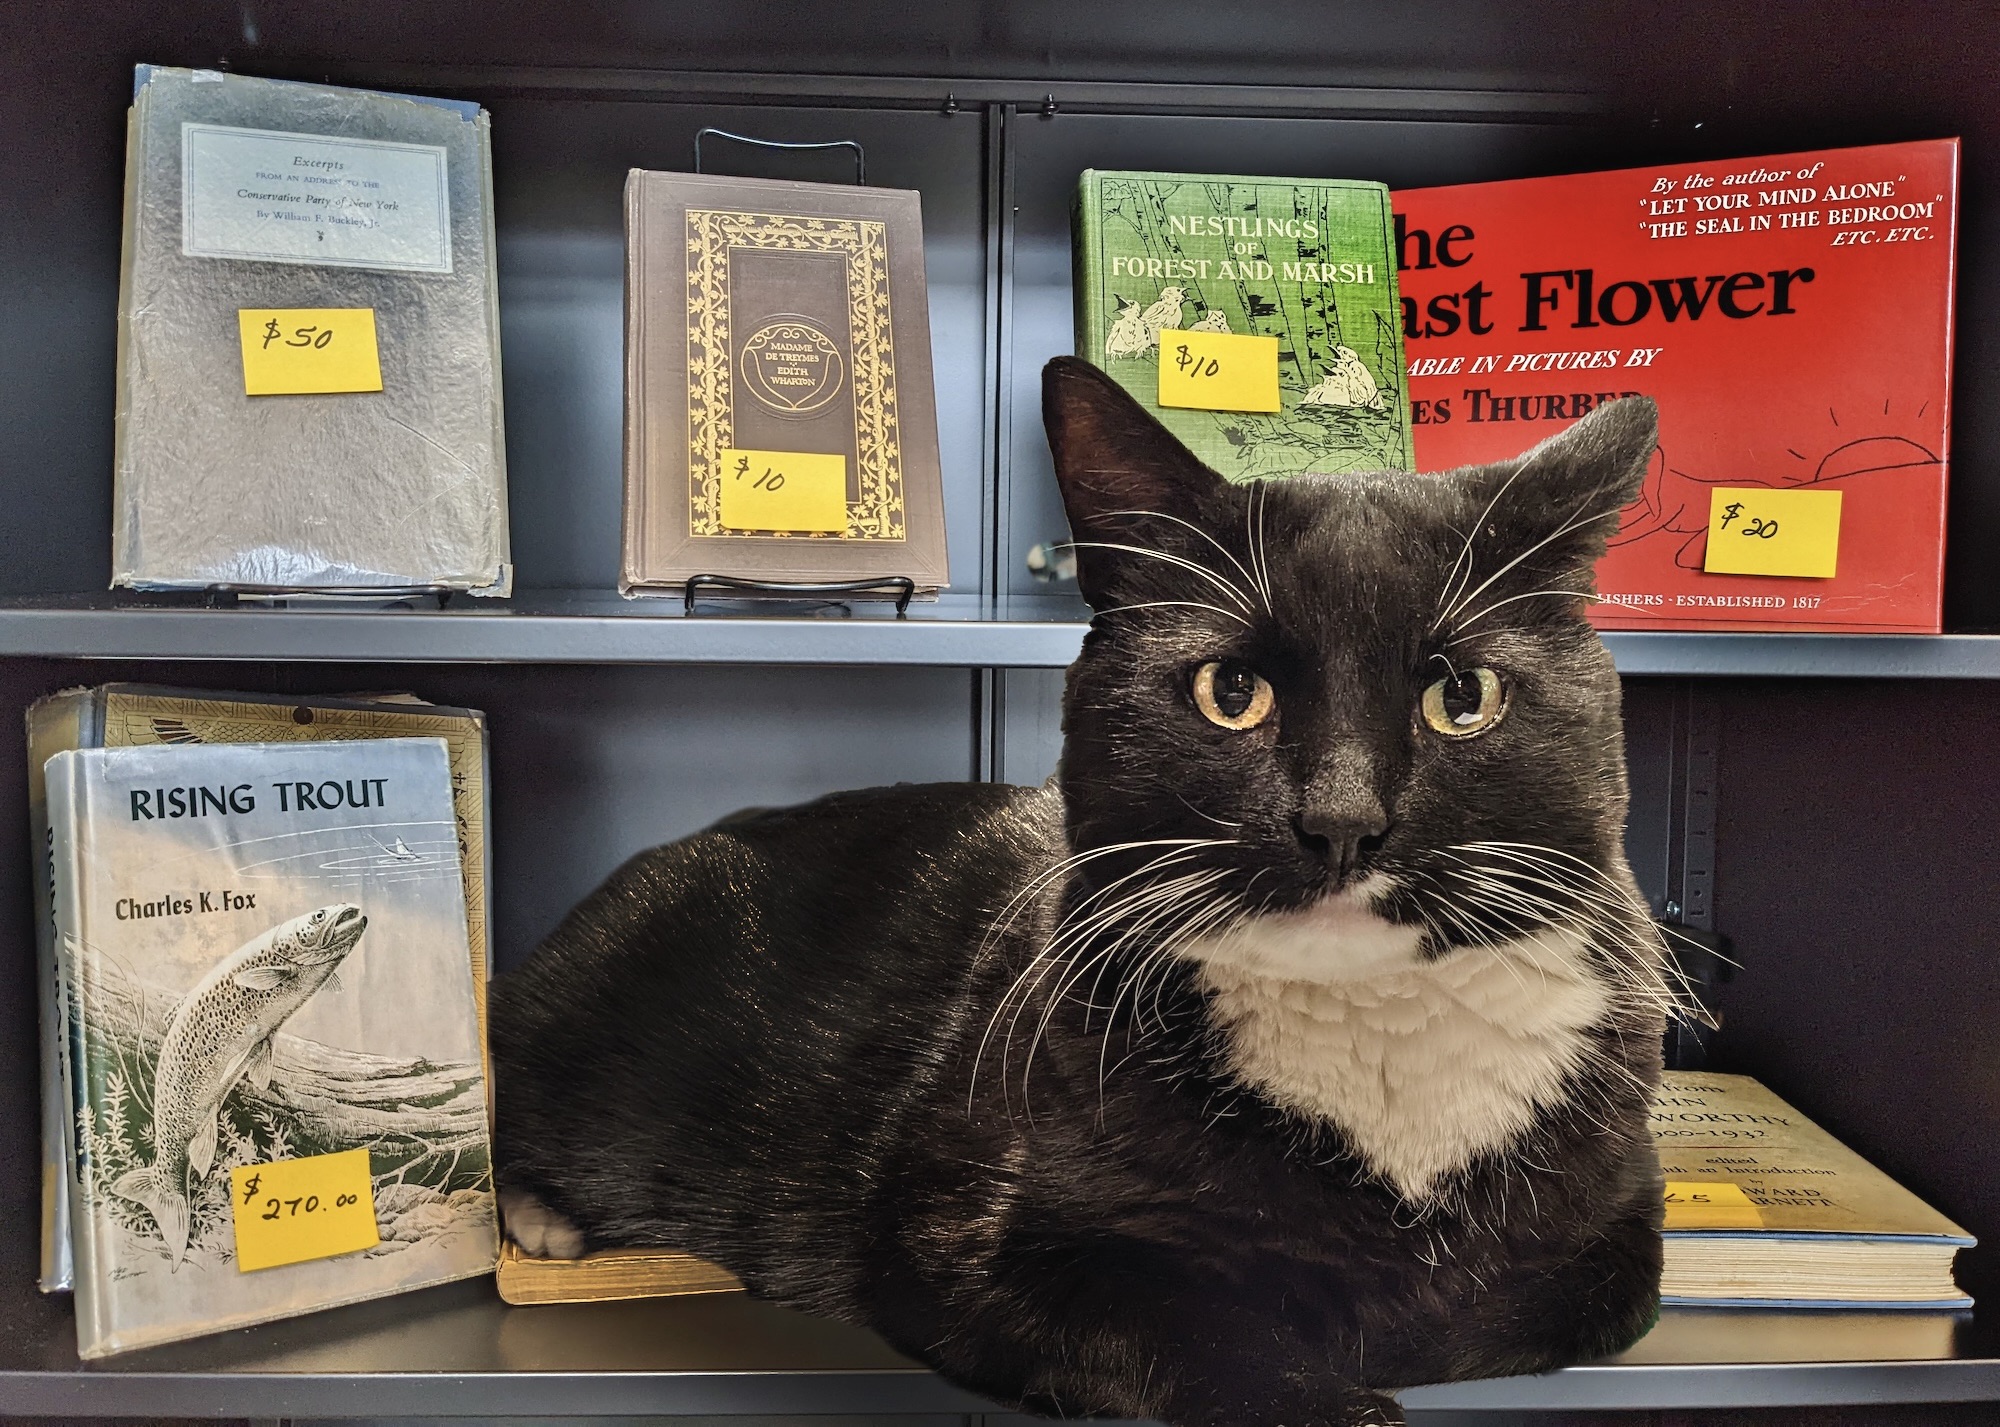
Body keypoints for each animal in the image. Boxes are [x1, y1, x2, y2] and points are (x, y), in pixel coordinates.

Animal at [488, 355, 1672, 1423]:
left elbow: (1538, 1298)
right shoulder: (969, 1244)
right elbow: (1192, 1323)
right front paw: (1327, 1368)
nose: (1341, 822)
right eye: (1230, 691)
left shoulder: (1621, 1224)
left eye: (1461, 696)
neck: (1369, 1039)